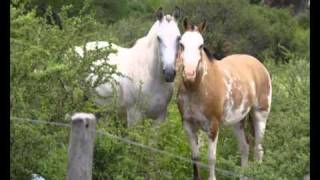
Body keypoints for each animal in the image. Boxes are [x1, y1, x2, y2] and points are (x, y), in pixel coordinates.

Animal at [176, 19, 272, 179]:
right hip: (238, 121)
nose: (189, 73)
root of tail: (260, 67)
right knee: (245, 148)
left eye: (201, 45)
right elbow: (195, 157)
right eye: (181, 44)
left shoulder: (213, 126)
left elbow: (211, 158)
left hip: (260, 116)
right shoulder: (188, 125)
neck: (197, 89)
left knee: (258, 150)